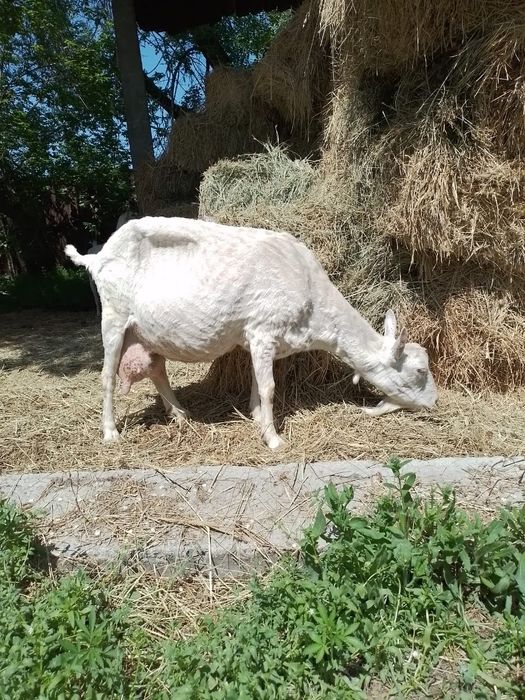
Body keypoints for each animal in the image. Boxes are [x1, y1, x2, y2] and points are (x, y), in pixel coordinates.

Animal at [65, 217, 437, 448]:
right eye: (420, 370)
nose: (434, 404)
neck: (312, 297)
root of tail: (96, 257)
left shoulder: (261, 339)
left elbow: (260, 384)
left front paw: (257, 417)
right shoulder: (263, 330)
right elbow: (270, 387)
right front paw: (273, 439)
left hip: (145, 332)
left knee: (157, 370)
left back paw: (182, 415)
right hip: (114, 316)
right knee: (107, 377)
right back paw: (111, 432)